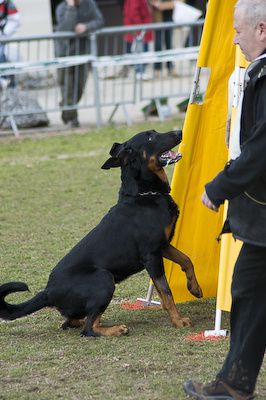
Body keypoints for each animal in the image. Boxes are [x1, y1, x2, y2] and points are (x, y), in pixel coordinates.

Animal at [0, 130, 203, 336]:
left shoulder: (163, 246)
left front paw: (194, 288)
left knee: (70, 322)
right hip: (104, 279)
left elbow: (186, 260)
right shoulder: (151, 255)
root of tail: (48, 291)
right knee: (89, 328)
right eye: (150, 137)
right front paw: (178, 320)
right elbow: (166, 291)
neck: (145, 195)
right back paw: (116, 329)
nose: (179, 131)